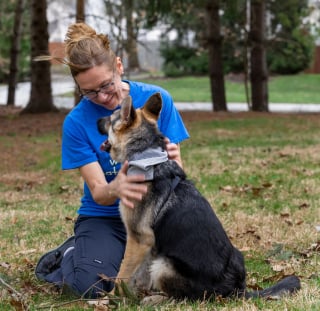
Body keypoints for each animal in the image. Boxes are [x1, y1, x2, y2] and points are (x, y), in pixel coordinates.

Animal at [97, 93, 300, 302]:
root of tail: (236, 290)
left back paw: (156, 299)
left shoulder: (138, 239)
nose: (97, 120)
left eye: (111, 119)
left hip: (164, 264)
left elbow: (122, 274)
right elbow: (140, 275)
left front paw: (109, 299)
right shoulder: (148, 245)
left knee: (184, 298)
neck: (147, 157)